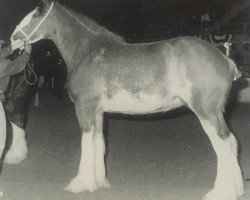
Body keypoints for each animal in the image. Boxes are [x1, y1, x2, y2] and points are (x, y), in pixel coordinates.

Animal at [10, 0, 243, 199]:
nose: (13, 38)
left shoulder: (84, 109)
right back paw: (237, 189)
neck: (89, 51)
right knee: (231, 143)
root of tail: (224, 58)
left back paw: (221, 192)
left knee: (223, 144)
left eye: (35, 14)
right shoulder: (97, 112)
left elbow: (87, 145)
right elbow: (98, 143)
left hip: (207, 112)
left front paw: (80, 184)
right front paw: (98, 182)